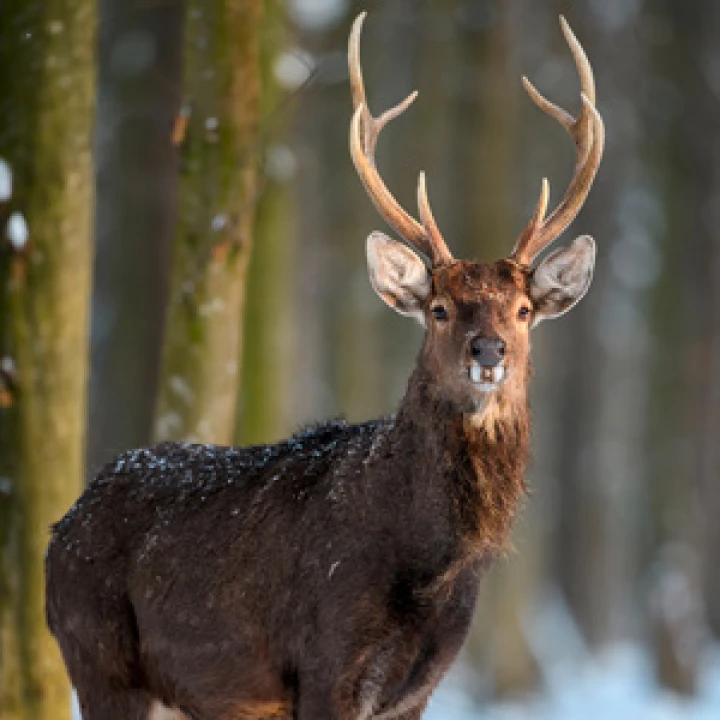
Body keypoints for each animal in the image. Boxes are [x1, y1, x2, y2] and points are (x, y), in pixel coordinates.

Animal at [45, 12, 604, 720]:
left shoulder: (418, 687)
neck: (428, 570)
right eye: (440, 309)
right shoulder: (324, 664)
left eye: (525, 310)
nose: (489, 350)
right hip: (100, 659)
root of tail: (56, 534)